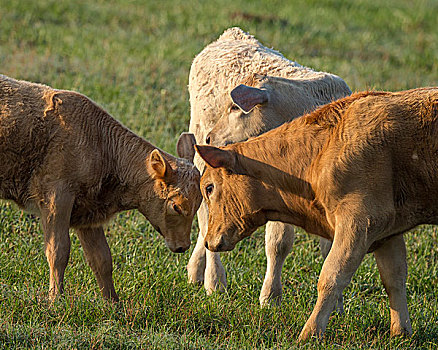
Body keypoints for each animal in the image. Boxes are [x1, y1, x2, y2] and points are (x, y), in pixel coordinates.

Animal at [0, 75, 202, 302]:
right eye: (176, 206)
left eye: (198, 204)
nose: (183, 246)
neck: (100, 145)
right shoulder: (56, 199)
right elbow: (58, 251)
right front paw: (55, 298)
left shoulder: (88, 212)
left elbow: (102, 259)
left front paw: (113, 302)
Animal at [197, 88, 438, 342]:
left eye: (209, 188)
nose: (208, 241)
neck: (324, 150)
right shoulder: (388, 231)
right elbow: (394, 279)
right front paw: (401, 332)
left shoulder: (359, 223)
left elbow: (331, 277)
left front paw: (310, 332)